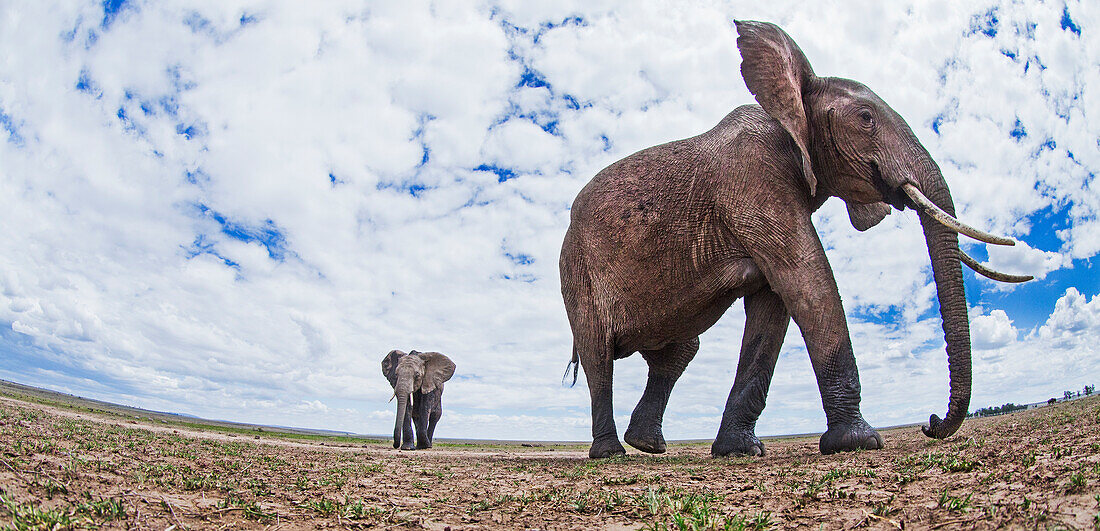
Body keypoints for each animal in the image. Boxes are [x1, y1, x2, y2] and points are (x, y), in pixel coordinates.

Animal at [558, 20, 1029, 459]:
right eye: (866, 118)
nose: (930, 422)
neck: (792, 102)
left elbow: (774, 307)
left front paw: (740, 450)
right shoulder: (755, 180)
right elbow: (807, 280)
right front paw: (859, 441)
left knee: (677, 353)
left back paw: (648, 445)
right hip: (575, 268)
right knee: (599, 354)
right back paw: (611, 453)